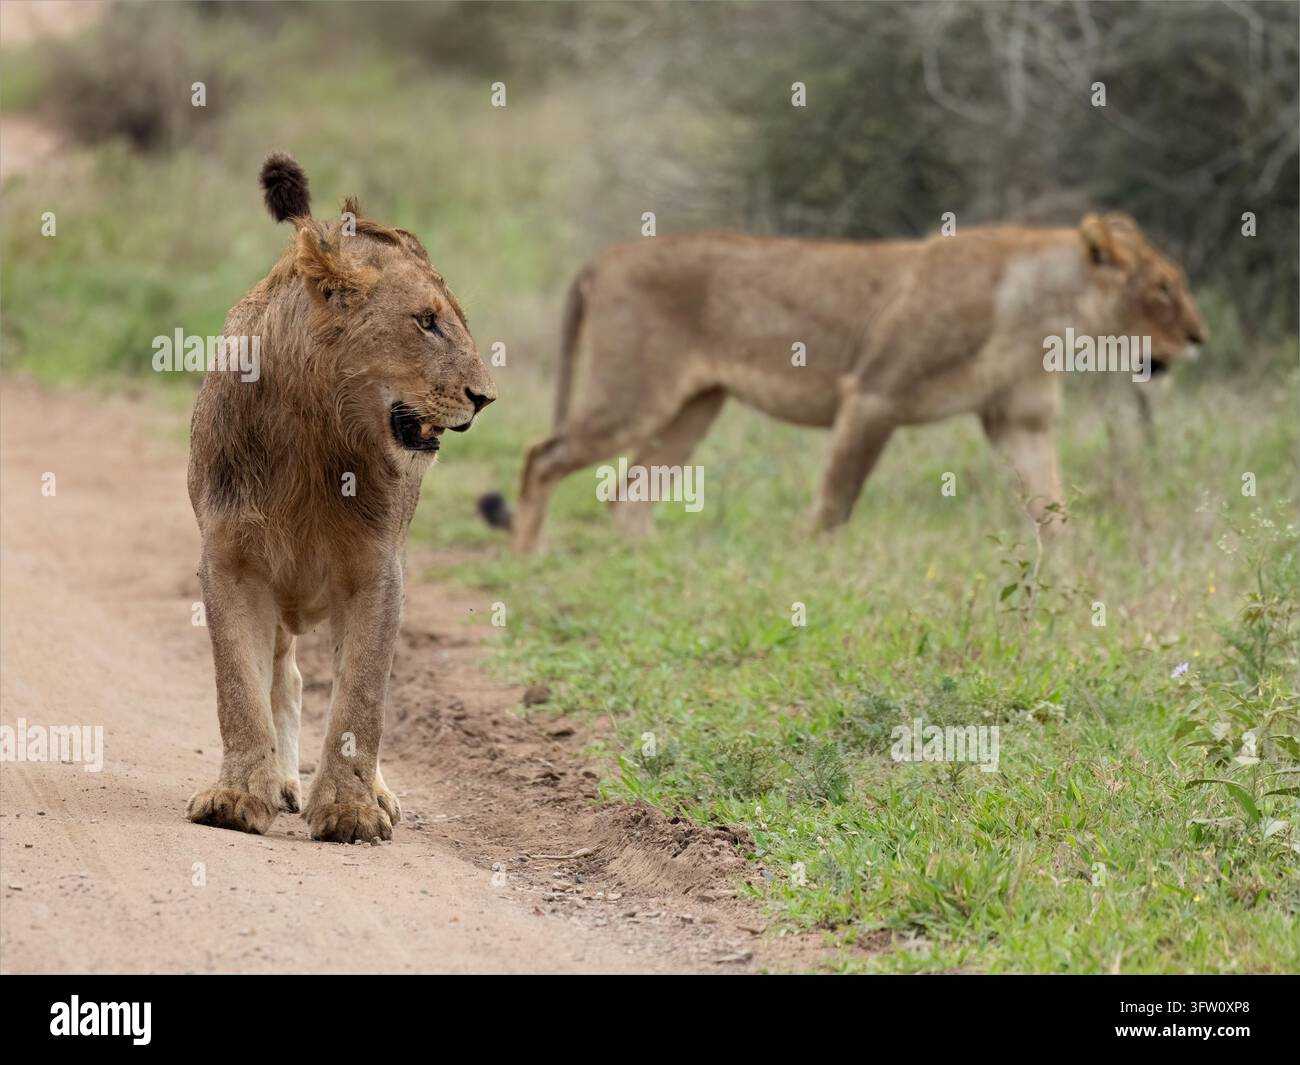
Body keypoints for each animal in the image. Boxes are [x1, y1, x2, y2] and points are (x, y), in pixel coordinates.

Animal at [186, 154, 496, 842]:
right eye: (426, 321)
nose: (486, 397)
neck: (316, 428)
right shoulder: (229, 558)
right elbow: (237, 689)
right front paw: (237, 797)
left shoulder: (377, 571)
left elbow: (362, 698)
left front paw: (352, 810)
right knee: (287, 677)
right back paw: (279, 780)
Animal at [479, 215, 1205, 552]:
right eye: (1162, 288)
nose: (1200, 338)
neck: (1042, 313)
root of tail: (602, 258)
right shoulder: (874, 395)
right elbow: (835, 501)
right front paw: (804, 563)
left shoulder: (1018, 420)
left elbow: (1052, 506)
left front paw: (1073, 574)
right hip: (632, 393)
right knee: (543, 457)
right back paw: (529, 554)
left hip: (695, 406)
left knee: (627, 493)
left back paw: (648, 560)